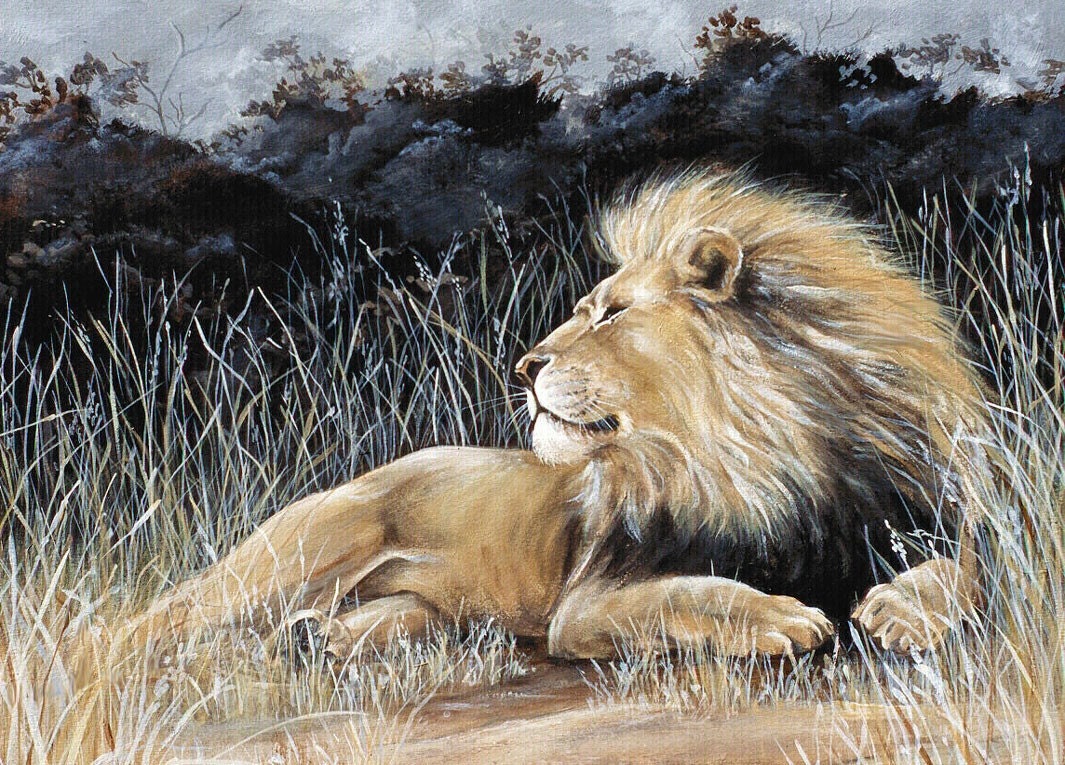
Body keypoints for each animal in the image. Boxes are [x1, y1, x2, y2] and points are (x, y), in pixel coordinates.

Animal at [118, 169, 992, 661]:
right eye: (582, 310)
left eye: (612, 314)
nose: (524, 366)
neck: (765, 465)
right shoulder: (589, 602)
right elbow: (687, 593)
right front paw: (779, 616)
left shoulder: (931, 518)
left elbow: (966, 572)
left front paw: (902, 610)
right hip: (288, 558)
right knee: (150, 622)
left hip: (413, 609)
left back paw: (326, 637)